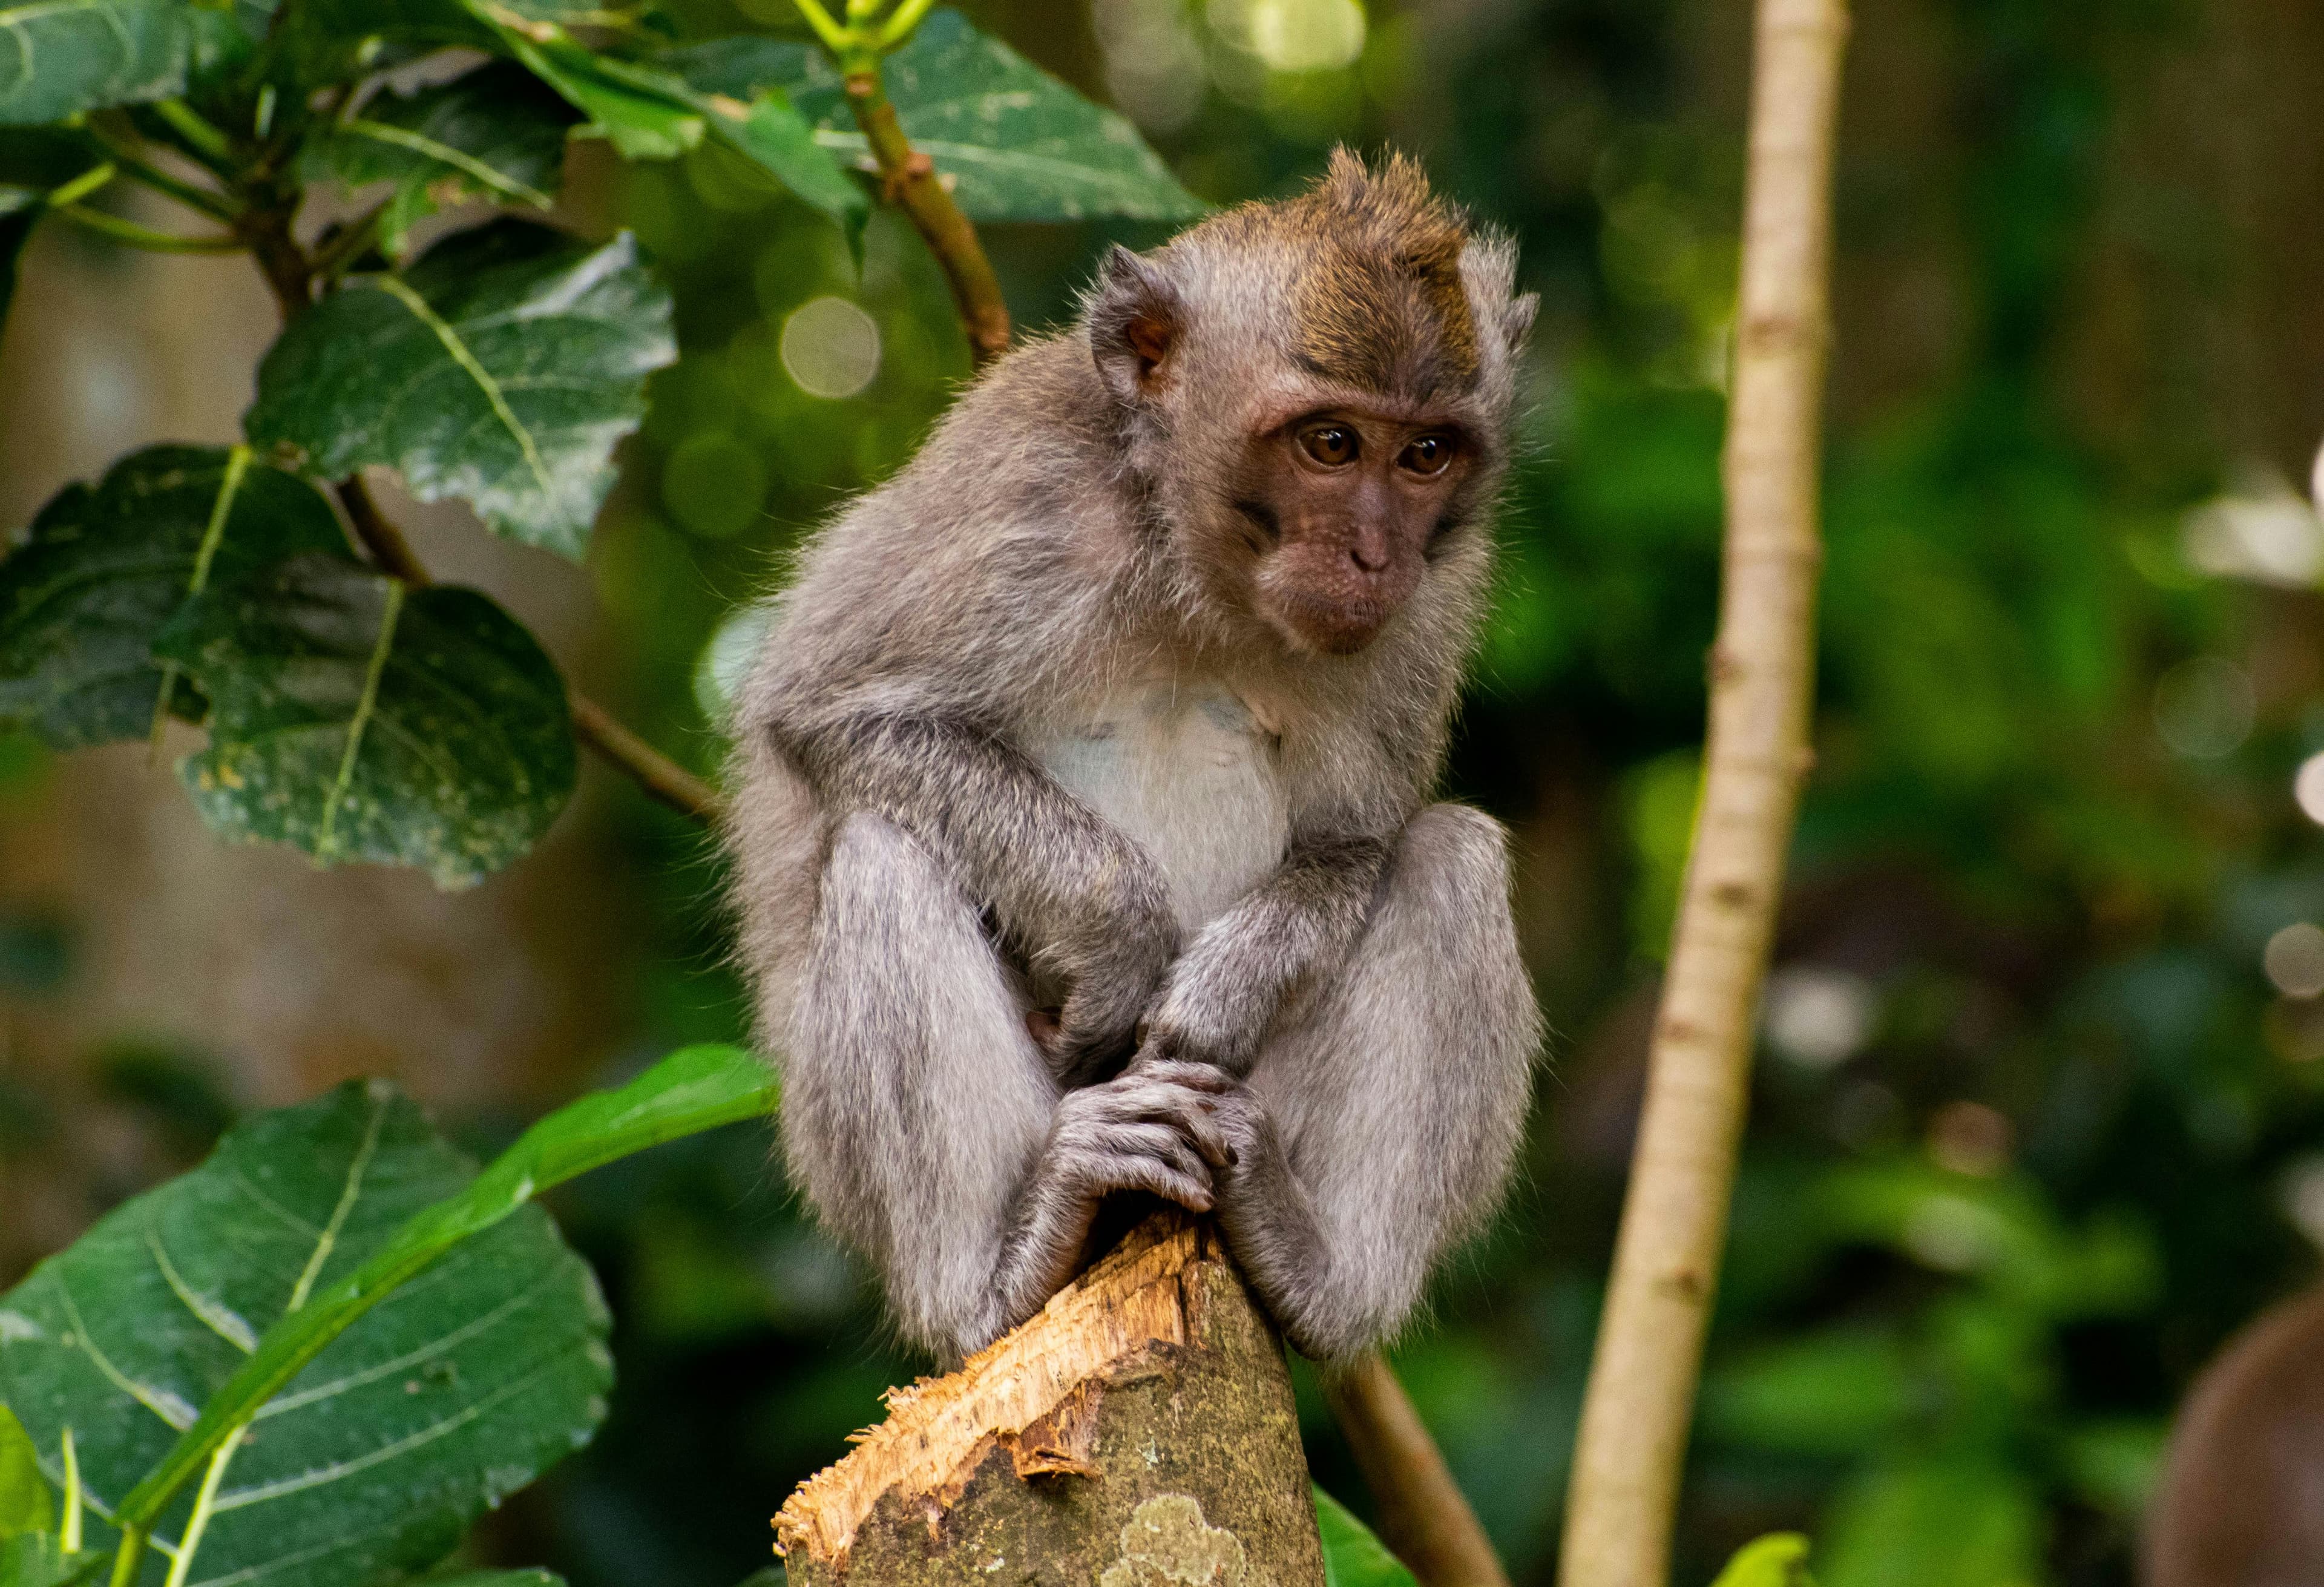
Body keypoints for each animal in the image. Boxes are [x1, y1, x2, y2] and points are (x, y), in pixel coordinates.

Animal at [724, 149, 1542, 1365]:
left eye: (1426, 453)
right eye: (1331, 444)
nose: (1373, 554)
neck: (1198, 570)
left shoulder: (1435, 603)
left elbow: (1356, 843)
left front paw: (1220, 986)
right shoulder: (1018, 490)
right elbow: (834, 714)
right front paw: (1121, 939)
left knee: (1453, 856)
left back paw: (1317, 1275)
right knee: (884, 846)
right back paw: (1000, 1273)